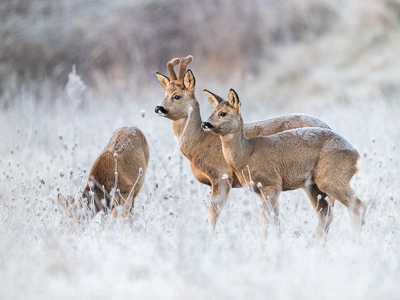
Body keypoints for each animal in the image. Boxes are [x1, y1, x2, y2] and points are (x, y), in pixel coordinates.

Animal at [155, 55, 332, 231]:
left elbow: (212, 216)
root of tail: (327, 126)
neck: (198, 143)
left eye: (177, 96)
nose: (158, 108)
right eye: (164, 94)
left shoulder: (221, 175)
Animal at [202, 88, 368, 241]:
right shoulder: (260, 190)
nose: (205, 123)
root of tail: (357, 156)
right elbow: (272, 217)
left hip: (330, 178)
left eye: (223, 113)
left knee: (357, 206)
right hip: (316, 185)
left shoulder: (272, 183)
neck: (247, 154)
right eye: (212, 111)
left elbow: (266, 217)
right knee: (328, 214)